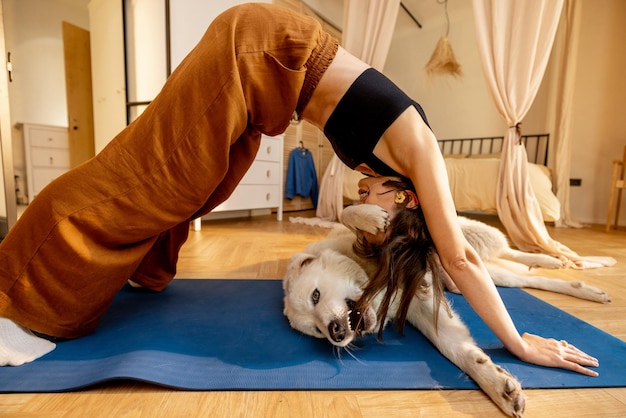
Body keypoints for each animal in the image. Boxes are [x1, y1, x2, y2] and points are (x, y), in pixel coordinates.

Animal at [284, 203, 608, 418]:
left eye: (315, 296)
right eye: (316, 331)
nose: (336, 334)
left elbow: (345, 214)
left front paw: (371, 217)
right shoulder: (423, 310)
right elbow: (460, 352)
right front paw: (497, 386)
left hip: (466, 243)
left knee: (510, 253)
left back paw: (559, 260)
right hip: (484, 275)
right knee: (525, 277)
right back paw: (579, 281)